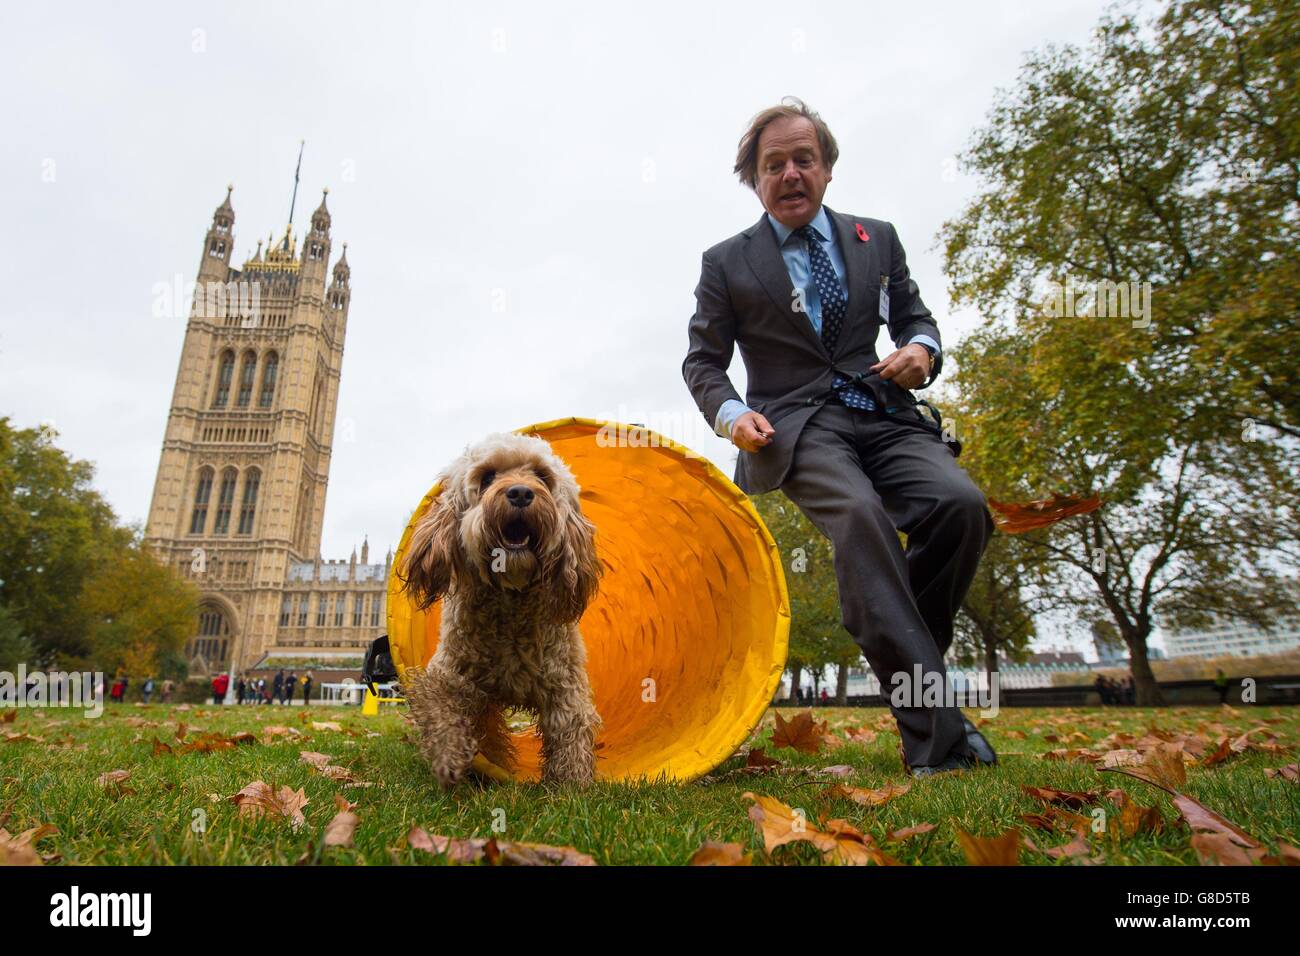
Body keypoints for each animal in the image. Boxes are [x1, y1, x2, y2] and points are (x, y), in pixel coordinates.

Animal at [395, 434, 603, 790]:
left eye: (542, 476)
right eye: (488, 476)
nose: (520, 492)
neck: (511, 604)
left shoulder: (564, 682)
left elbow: (570, 730)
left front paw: (572, 784)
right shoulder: (450, 672)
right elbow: (441, 708)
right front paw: (450, 759)